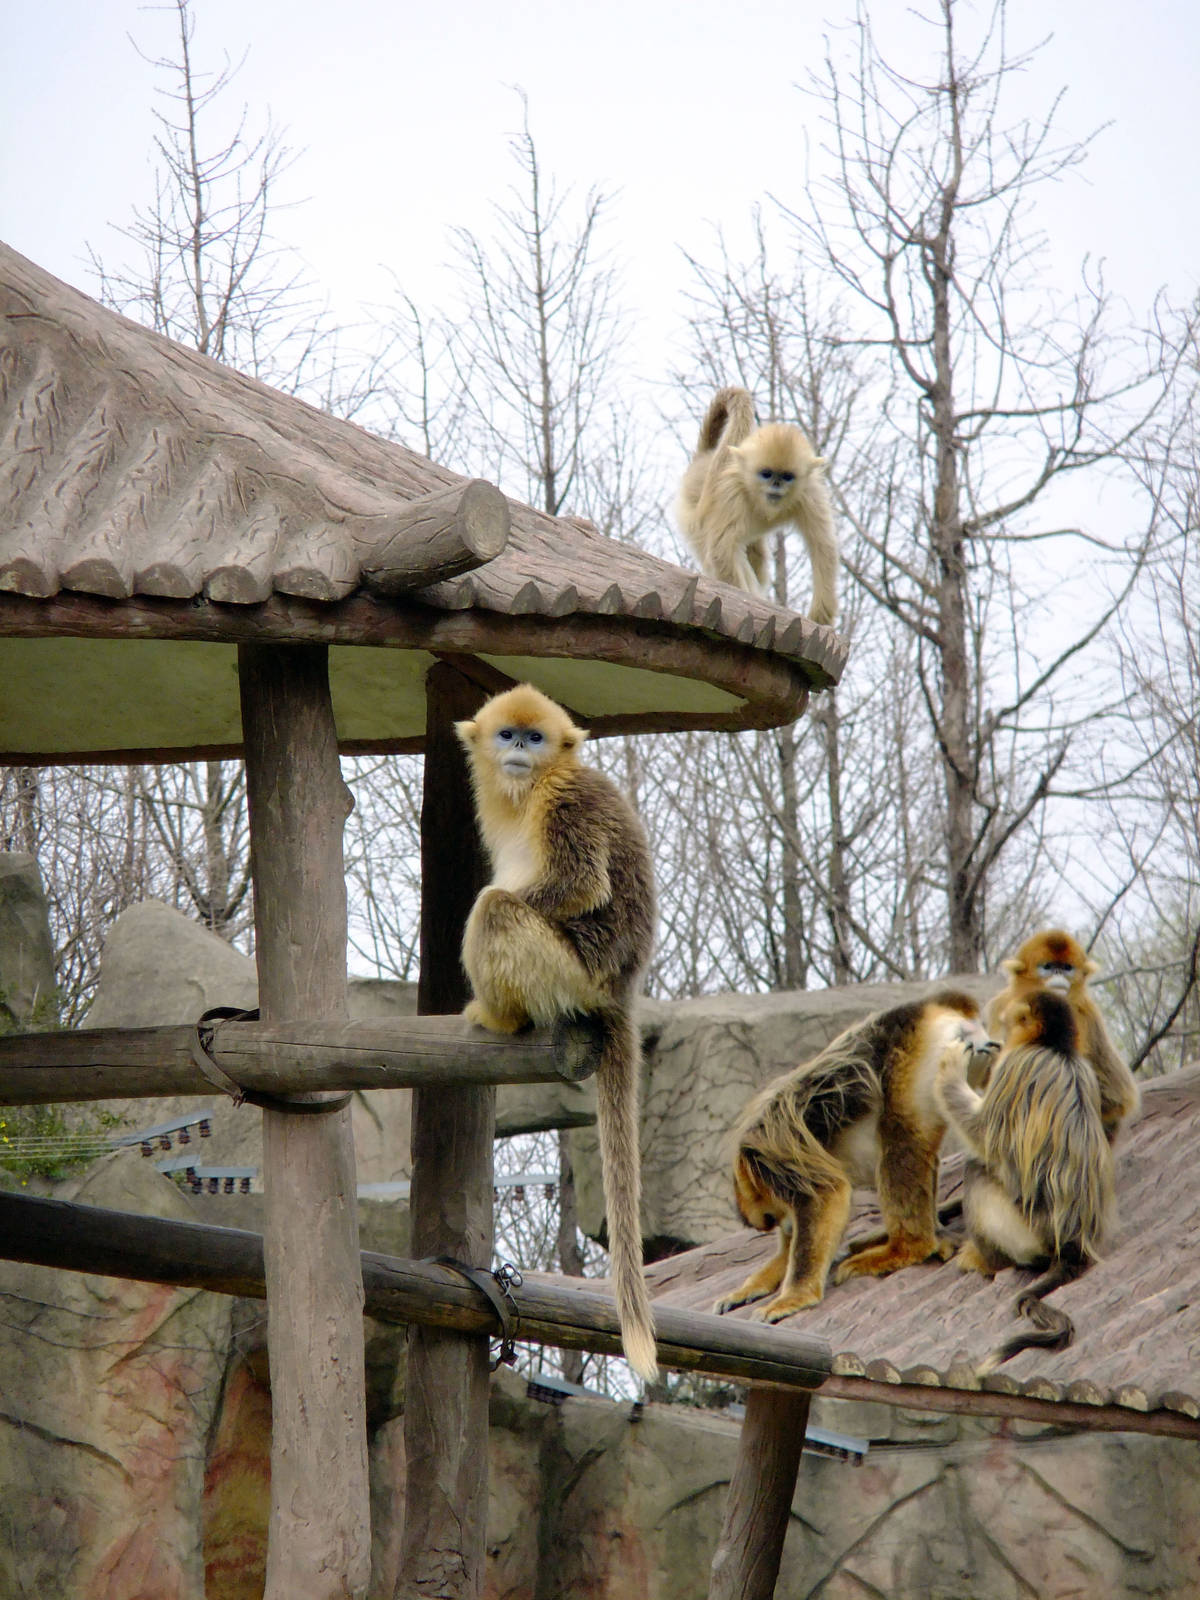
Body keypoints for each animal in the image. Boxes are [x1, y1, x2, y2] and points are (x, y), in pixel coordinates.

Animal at [455, 684, 658, 1380]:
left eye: (535, 738)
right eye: (508, 735)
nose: (519, 749)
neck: (530, 788)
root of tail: (621, 987)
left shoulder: (568, 798)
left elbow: (579, 886)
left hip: (572, 974)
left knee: (495, 908)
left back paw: (501, 1014)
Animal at [675, 386, 839, 623]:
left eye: (787, 476)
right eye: (766, 474)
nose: (776, 484)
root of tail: (703, 458)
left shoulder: (810, 495)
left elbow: (822, 546)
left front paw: (820, 616)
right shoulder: (732, 492)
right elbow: (721, 551)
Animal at [712, 991, 990, 1323]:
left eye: (770, 1217)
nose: (786, 1228)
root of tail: (929, 1006)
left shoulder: (773, 1163)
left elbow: (826, 1195)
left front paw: (793, 1297)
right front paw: (747, 1289)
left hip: (917, 1054)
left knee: (901, 1137)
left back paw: (909, 1248)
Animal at [936, 989, 1116, 1369]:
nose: (997, 1041)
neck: (1056, 1048)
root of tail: (1073, 1245)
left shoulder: (1015, 1066)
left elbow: (981, 1135)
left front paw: (951, 1066)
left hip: (1026, 1233)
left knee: (977, 1169)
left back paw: (984, 1259)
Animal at [986, 929, 1140, 1143]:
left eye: (1067, 968)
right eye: (1049, 967)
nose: (1059, 974)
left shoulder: (1086, 1013)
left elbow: (1116, 1097)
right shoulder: (1001, 1003)